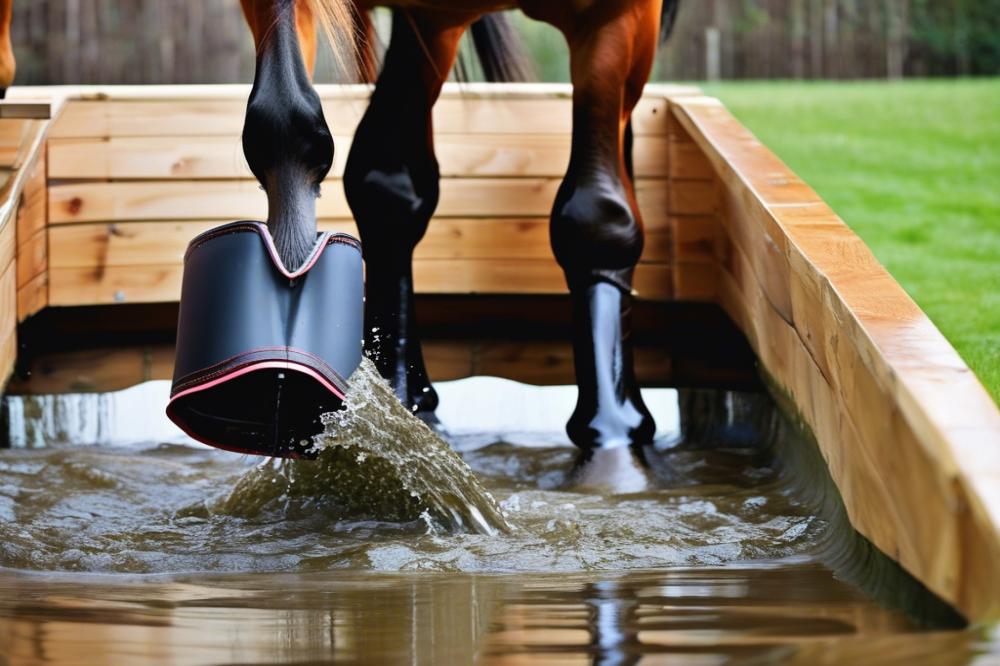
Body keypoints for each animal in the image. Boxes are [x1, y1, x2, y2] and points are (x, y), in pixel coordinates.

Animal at [0, 0, 680, 452]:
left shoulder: (618, 13)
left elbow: (596, 216)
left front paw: (615, 433)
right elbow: (292, 123)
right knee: (389, 182)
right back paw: (407, 395)